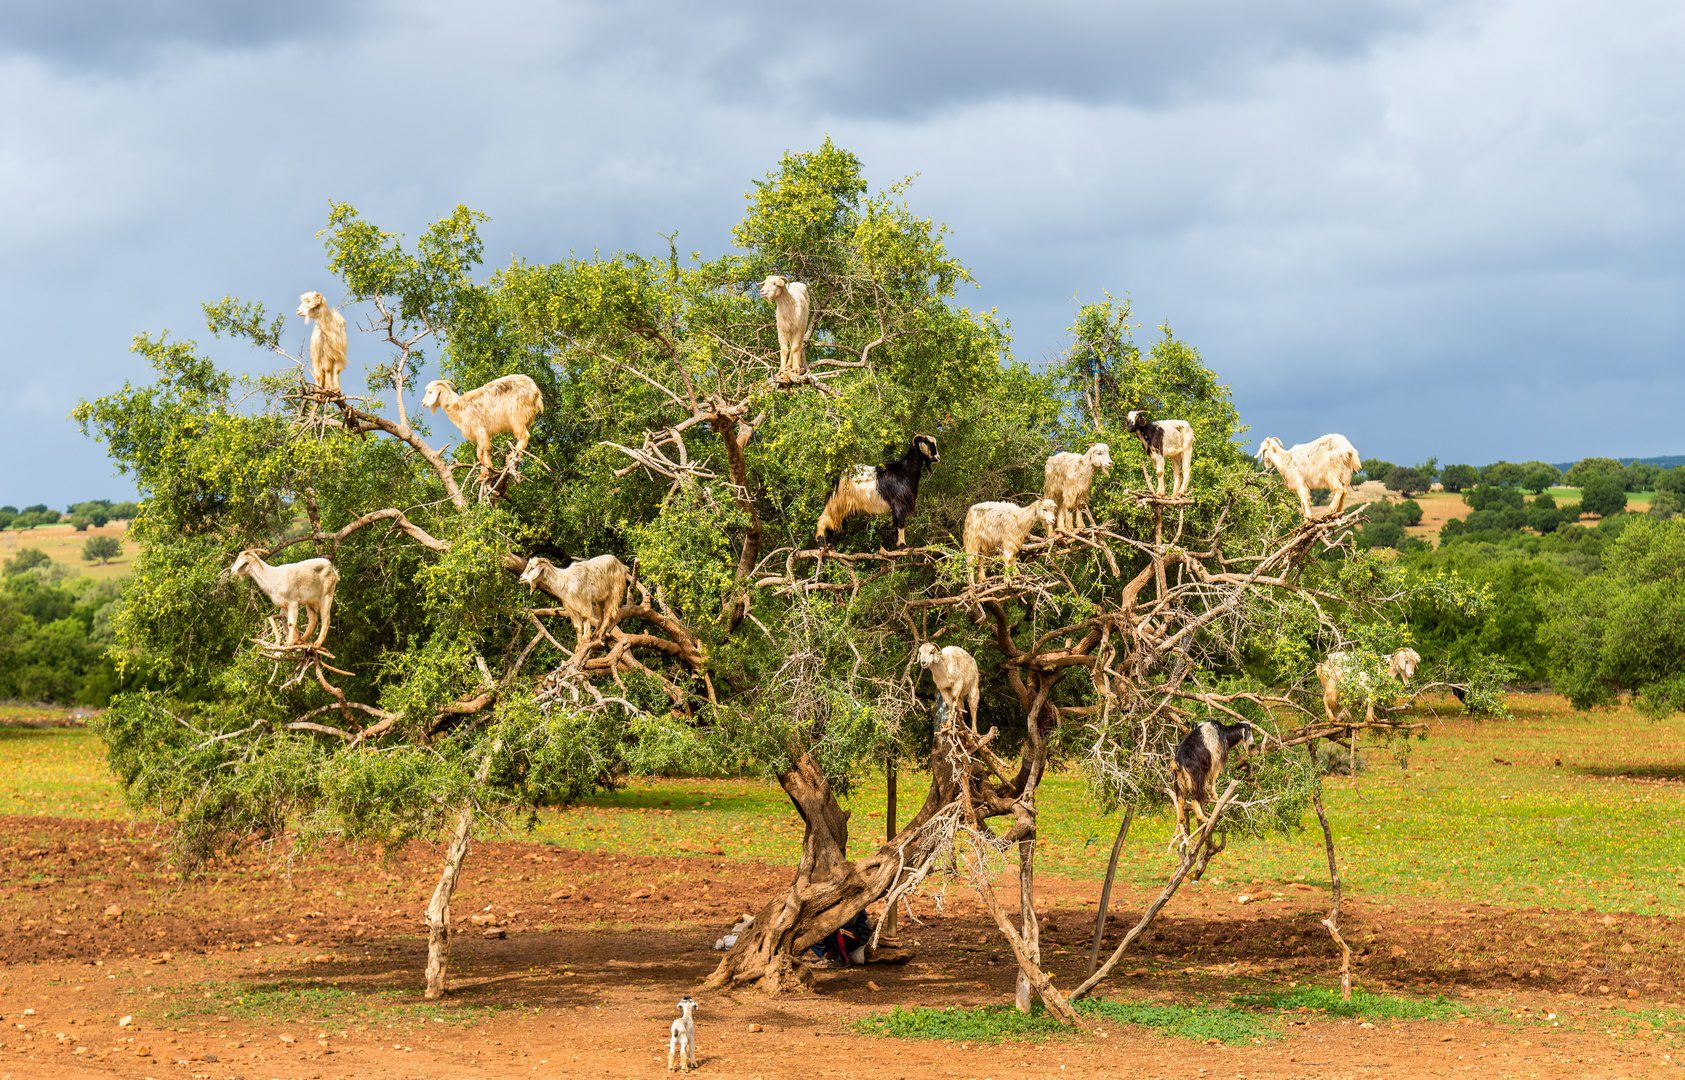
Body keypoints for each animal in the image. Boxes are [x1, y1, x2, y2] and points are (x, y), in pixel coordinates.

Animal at [1170, 720, 1254, 850]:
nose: (1253, 743)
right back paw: (1203, 817)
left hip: (1179, 781)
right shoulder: (1215, 762)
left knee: (1179, 801)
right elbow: (1213, 780)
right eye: (1250, 731)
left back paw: (1179, 827)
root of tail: (1178, 762)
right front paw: (1215, 796)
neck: (1224, 733)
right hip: (1196, 777)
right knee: (1194, 799)